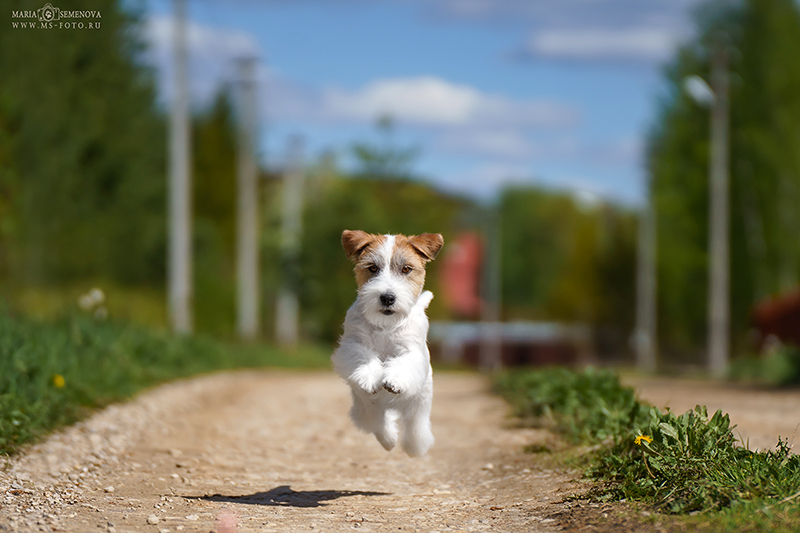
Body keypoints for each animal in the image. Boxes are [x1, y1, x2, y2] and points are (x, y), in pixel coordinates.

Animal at [330, 230, 444, 458]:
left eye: (406, 269)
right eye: (372, 268)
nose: (387, 298)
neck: (385, 325)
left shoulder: (412, 352)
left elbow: (402, 363)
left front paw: (394, 380)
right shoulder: (352, 344)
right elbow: (363, 357)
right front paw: (369, 376)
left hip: (419, 403)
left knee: (415, 426)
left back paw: (415, 447)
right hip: (366, 407)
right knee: (378, 421)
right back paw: (388, 439)